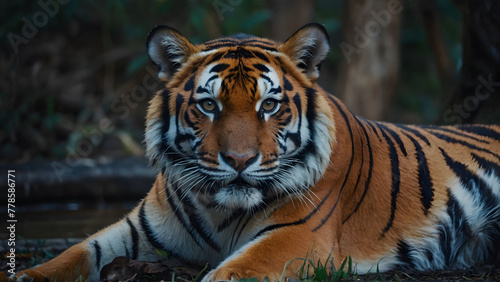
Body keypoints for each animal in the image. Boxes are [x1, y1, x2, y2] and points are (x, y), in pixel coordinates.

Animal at [12, 23, 500, 280]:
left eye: (269, 106)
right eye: (209, 105)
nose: (240, 161)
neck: (217, 210)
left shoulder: (297, 237)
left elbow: (229, 272)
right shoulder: (137, 230)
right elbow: (71, 256)